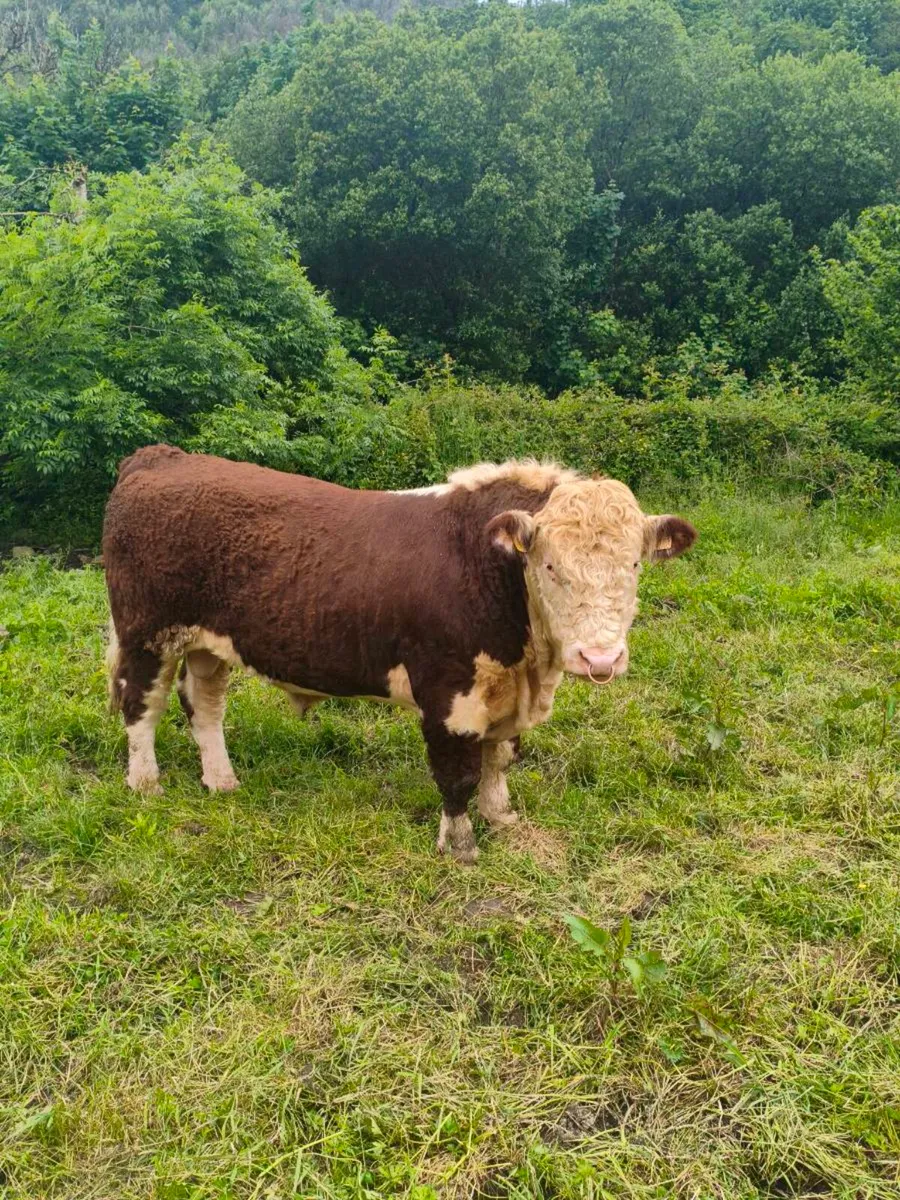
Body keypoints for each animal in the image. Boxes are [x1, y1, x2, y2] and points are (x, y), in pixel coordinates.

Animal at [103, 445, 696, 862]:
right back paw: (146, 785)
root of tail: (160, 456)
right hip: (146, 634)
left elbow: (499, 758)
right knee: (142, 709)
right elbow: (456, 773)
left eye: (634, 565)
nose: (600, 659)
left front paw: (502, 816)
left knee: (204, 705)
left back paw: (222, 781)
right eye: (550, 566)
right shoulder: (449, 694)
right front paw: (461, 844)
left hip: (208, 641)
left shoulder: (505, 689)